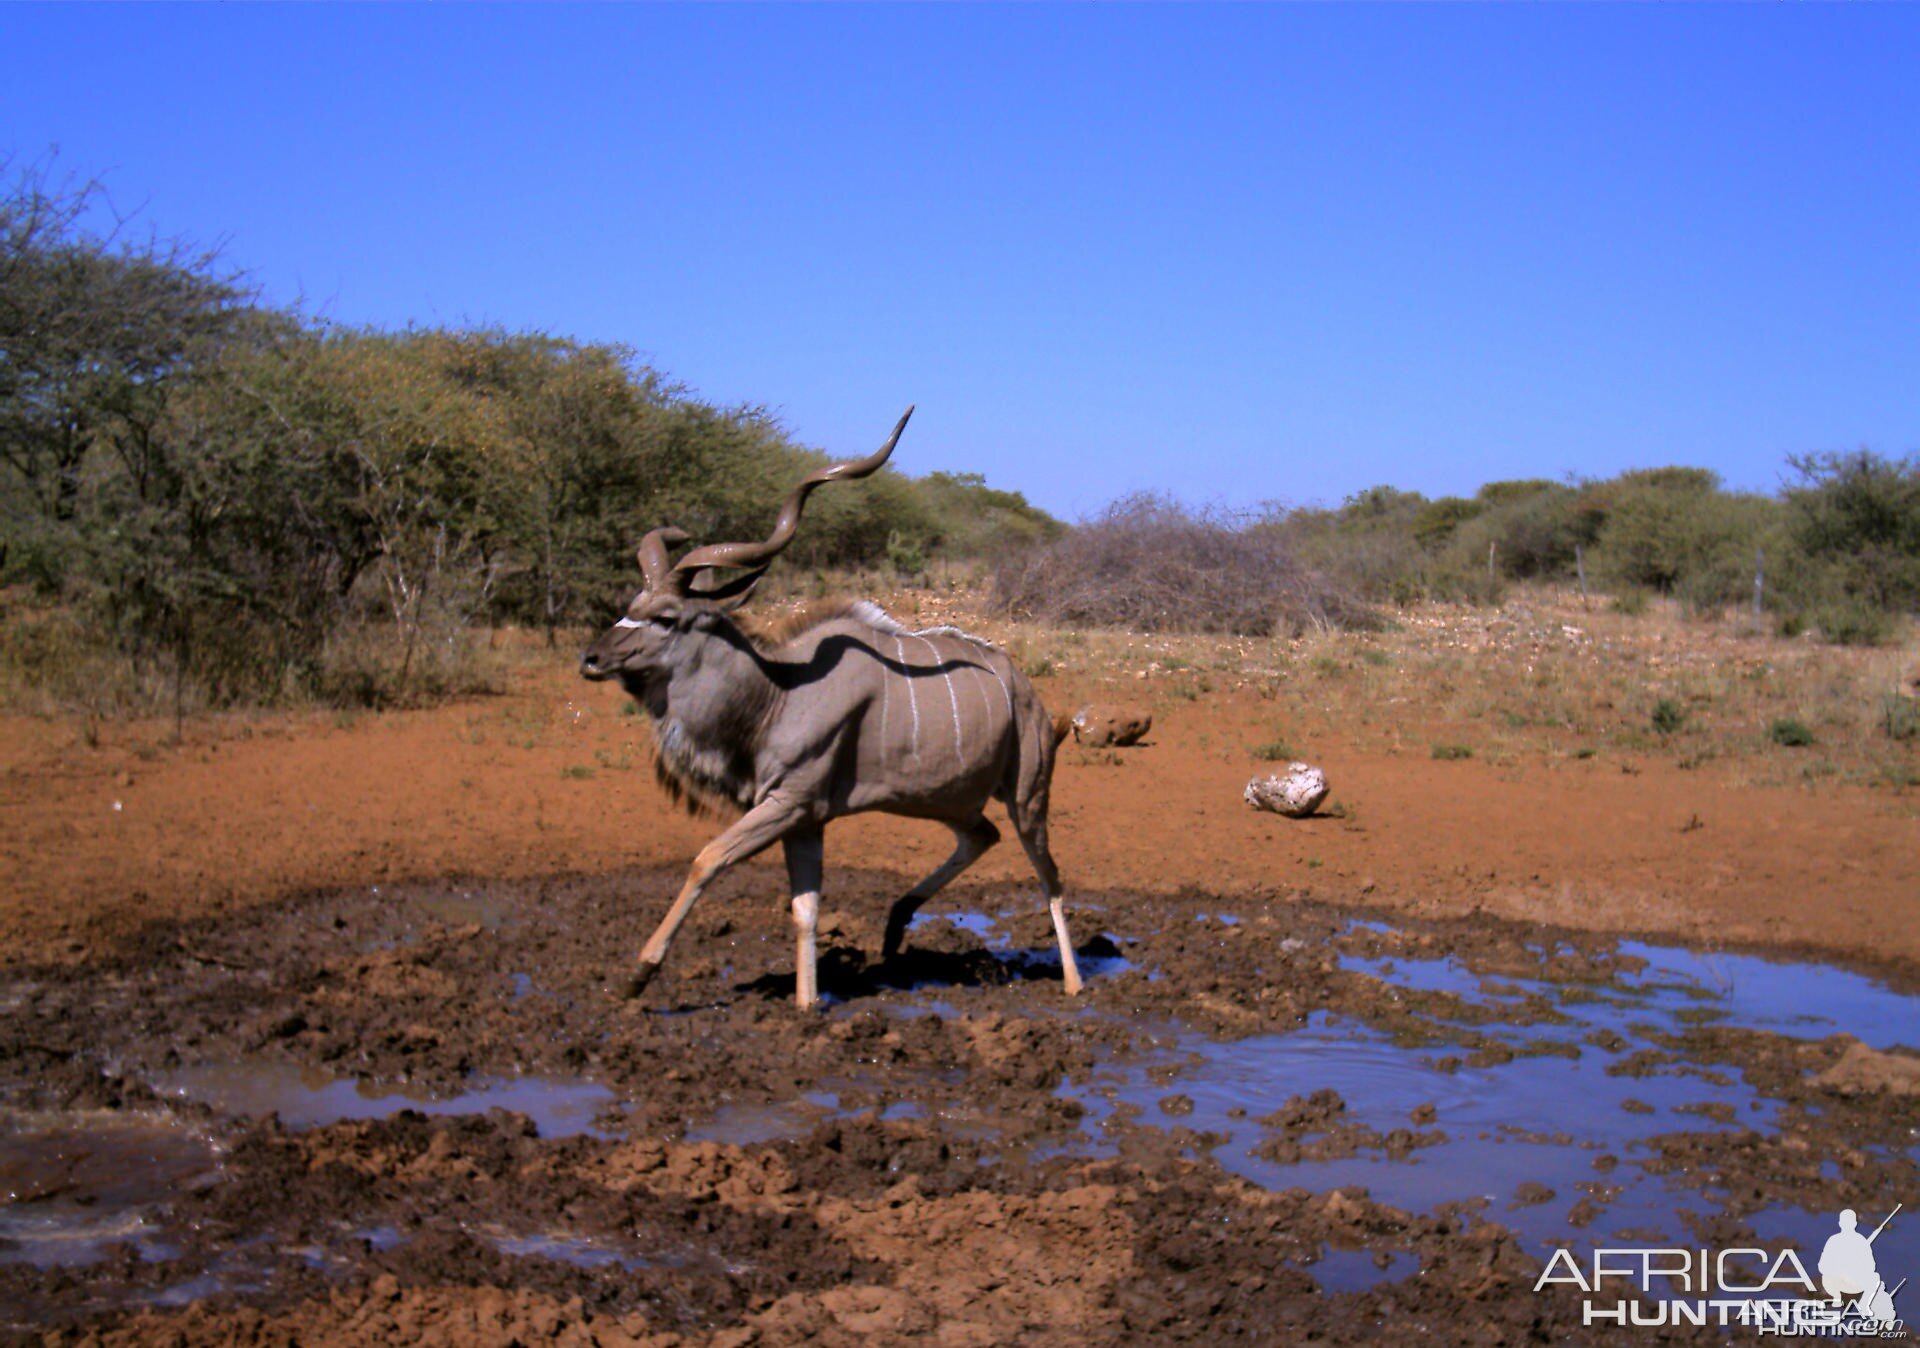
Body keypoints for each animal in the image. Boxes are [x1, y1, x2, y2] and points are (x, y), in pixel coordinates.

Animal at [572, 410, 1082, 1013]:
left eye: (667, 618)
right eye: (631, 607)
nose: (592, 657)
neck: (778, 693)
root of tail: (1025, 689)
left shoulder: (789, 802)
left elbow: (708, 858)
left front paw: (638, 974)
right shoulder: (803, 818)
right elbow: (805, 909)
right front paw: (808, 1005)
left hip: (1028, 794)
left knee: (1049, 874)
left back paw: (1074, 983)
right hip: (948, 800)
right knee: (982, 836)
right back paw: (896, 921)